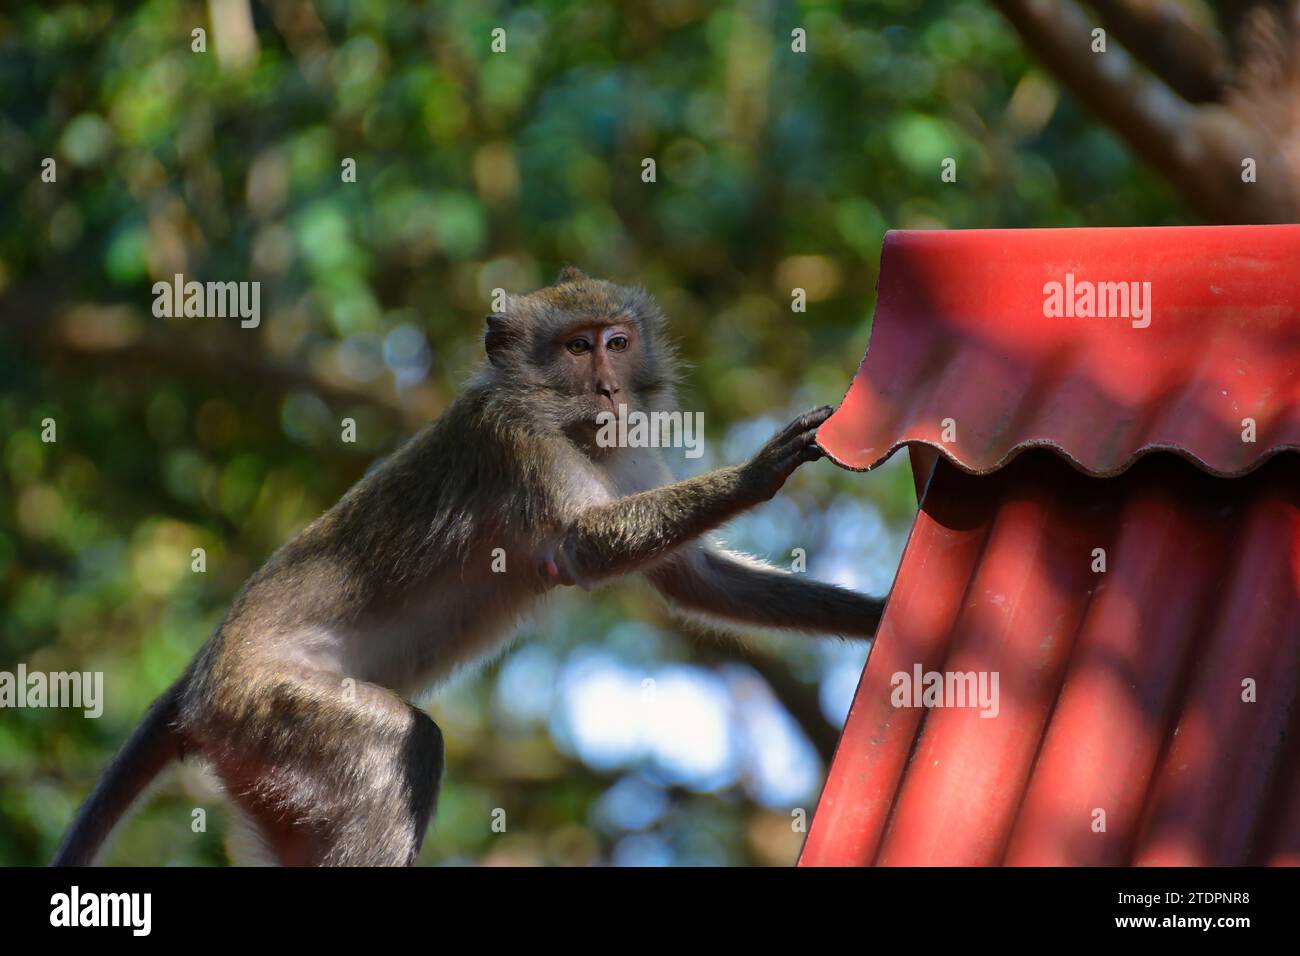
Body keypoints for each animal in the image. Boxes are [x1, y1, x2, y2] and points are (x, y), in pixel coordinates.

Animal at [48, 269, 883, 868]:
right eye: (576, 348)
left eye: (617, 342)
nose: (610, 386)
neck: (572, 428)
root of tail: (199, 676)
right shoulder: (514, 444)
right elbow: (580, 548)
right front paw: (756, 473)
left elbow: (692, 578)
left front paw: (877, 618)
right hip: (262, 705)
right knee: (405, 745)